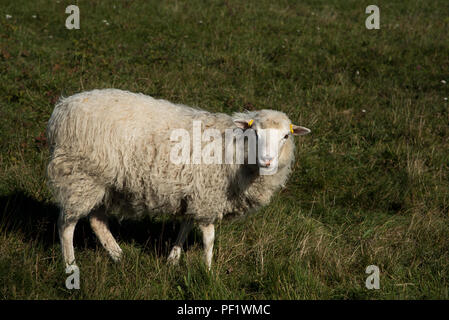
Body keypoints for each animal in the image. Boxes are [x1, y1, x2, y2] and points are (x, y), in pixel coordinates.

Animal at [46, 87, 312, 270]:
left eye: (286, 136)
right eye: (254, 133)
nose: (267, 161)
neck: (236, 151)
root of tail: (62, 109)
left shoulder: (194, 192)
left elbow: (185, 225)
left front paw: (173, 258)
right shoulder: (207, 196)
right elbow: (209, 238)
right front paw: (208, 271)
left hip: (102, 183)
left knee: (97, 221)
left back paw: (118, 255)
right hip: (79, 176)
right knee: (66, 225)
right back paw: (70, 265)